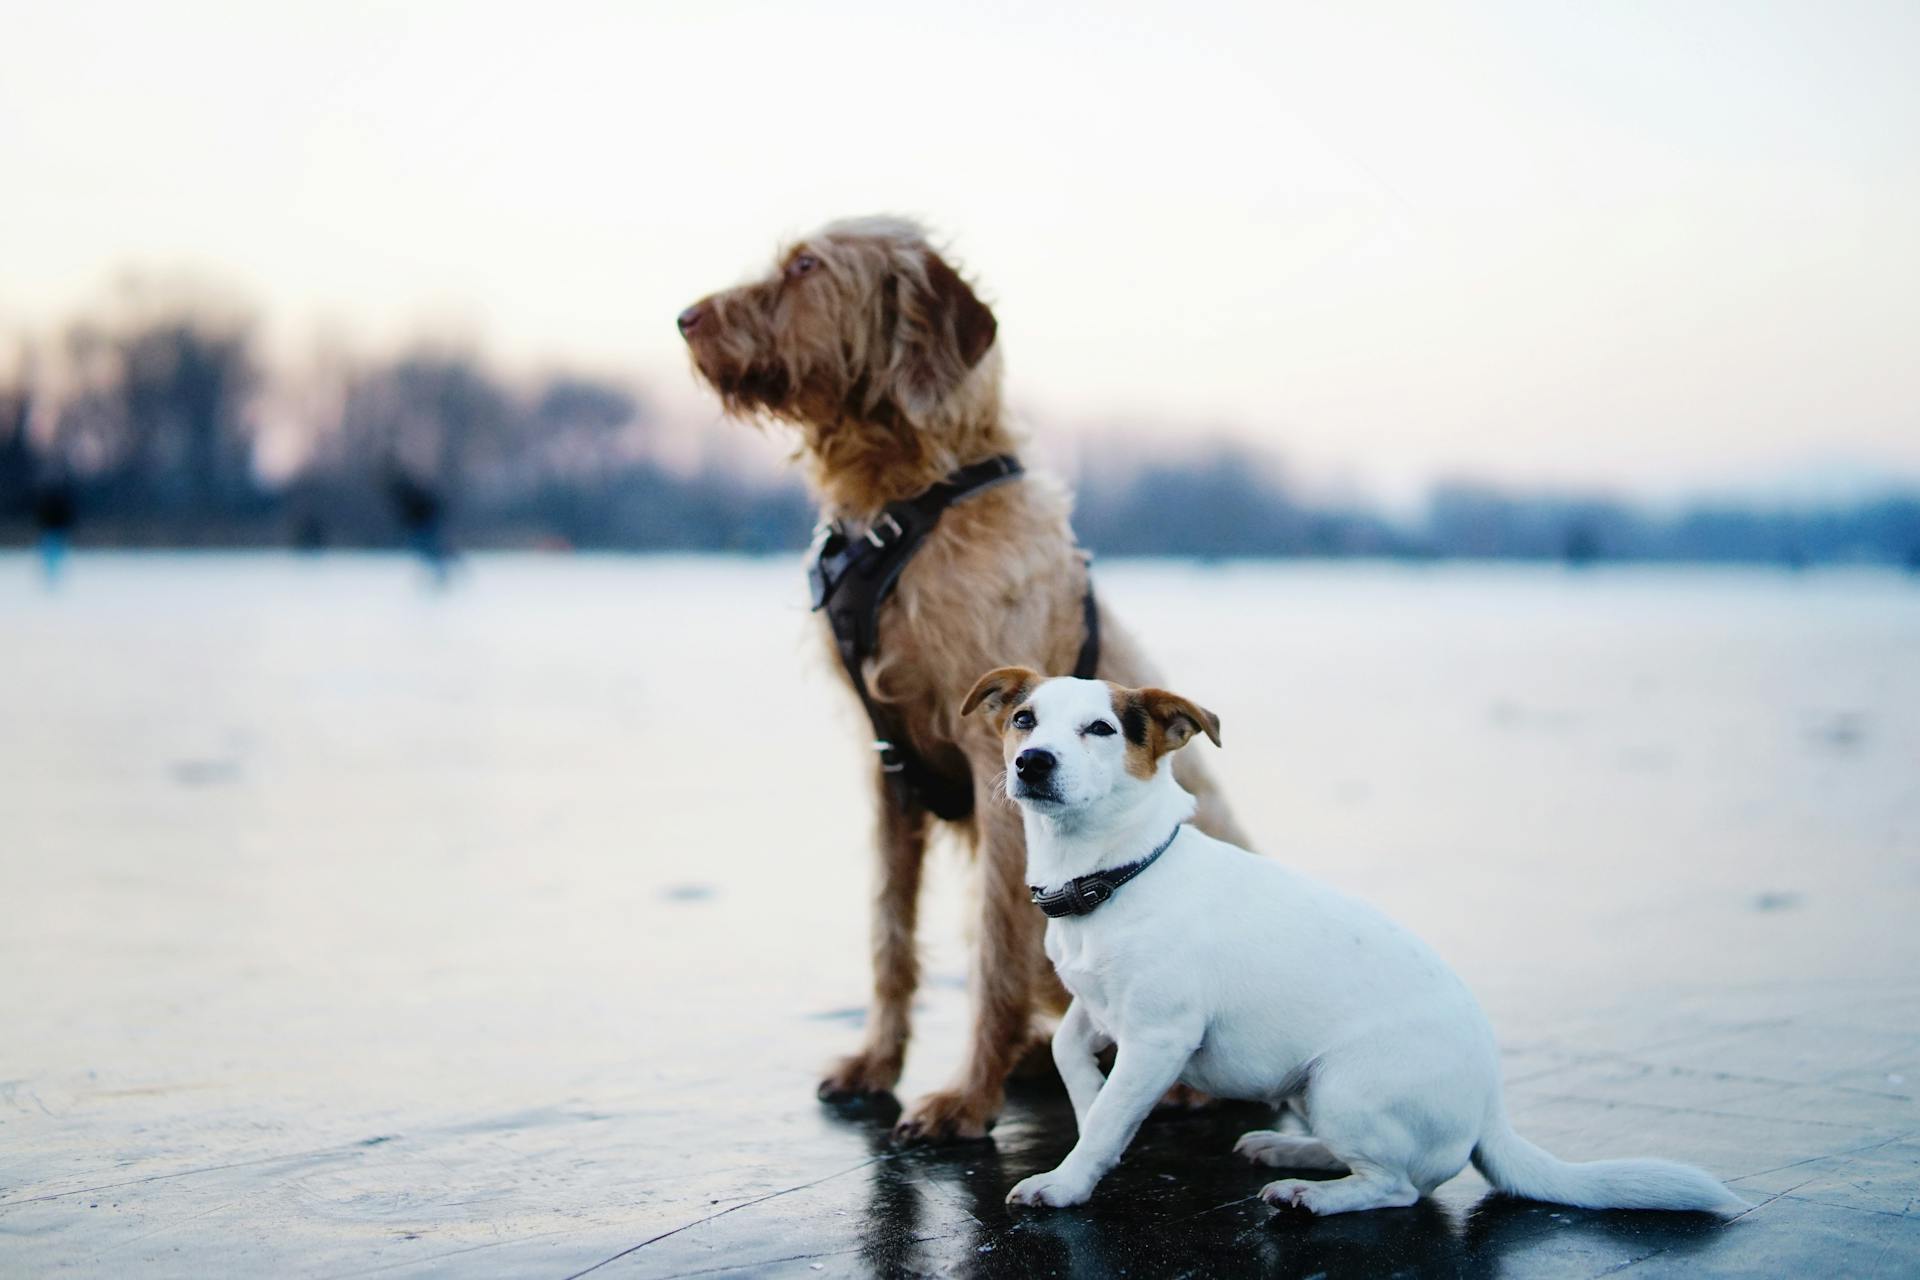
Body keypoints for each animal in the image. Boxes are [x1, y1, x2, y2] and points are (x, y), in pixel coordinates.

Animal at [679, 214, 1244, 1143]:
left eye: (806, 267)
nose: (685, 318)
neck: (908, 501)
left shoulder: (997, 775)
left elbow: (995, 950)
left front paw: (966, 1097)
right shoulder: (887, 770)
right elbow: (890, 934)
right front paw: (878, 1064)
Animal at [952, 667, 1751, 1220]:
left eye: (1100, 730)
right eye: (1024, 719)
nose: (1033, 762)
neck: (1115, 875)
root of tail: (1490, 1109)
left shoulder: (1159, 1035)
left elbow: (1110, 1115)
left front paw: (1068, 1180)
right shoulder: (1100, 1006)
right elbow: (1072, 1057)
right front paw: (1090, 1107)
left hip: (1345, 1083)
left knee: (1396, 1186)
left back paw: (1313, 1193)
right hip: (1309, 1086)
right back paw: (1287, 1147)